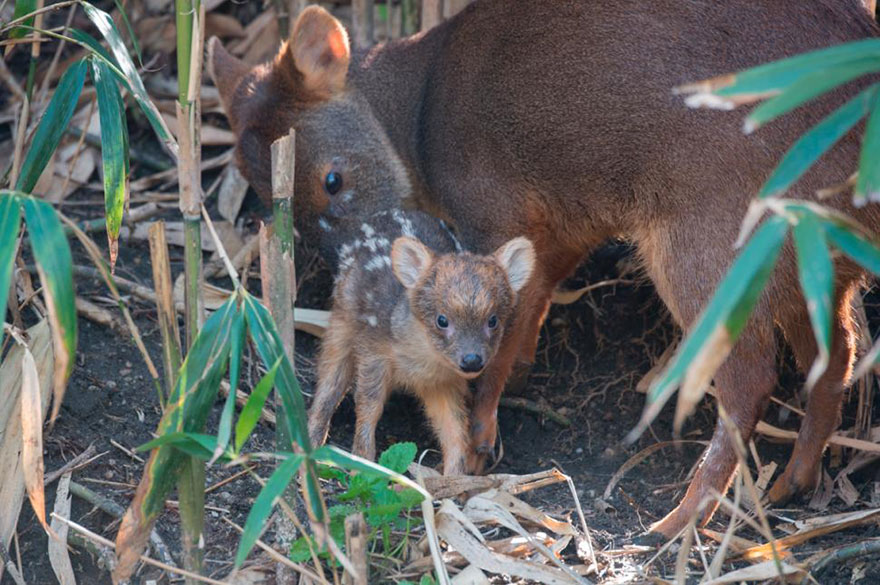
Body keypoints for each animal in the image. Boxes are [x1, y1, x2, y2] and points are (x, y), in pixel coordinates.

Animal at [306, 210, 532, 474]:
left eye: (493, 320)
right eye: (442, 320)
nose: (472, 360)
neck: (420, 361)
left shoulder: (443, 383)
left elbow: (454, 427)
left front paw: (455, 476)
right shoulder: (373, 351)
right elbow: (368, 405)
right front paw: (362, 464)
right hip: (342, 318)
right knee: (329, 380)